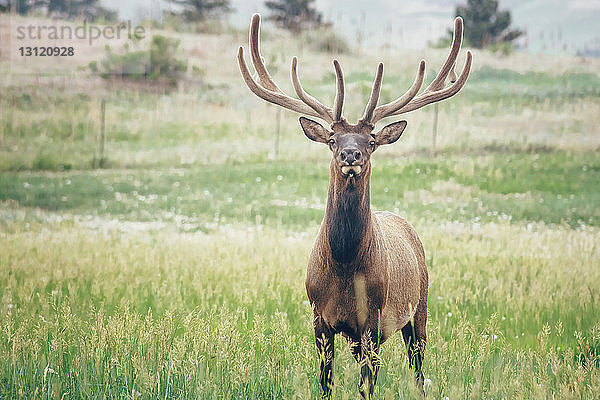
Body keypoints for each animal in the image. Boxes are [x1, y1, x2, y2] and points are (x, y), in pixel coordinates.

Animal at [237, 14, 472, 398]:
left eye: (372, 140)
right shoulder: (319, 317)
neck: (345, 268)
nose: (351, 155)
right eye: (333, 139)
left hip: (420, 306)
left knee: (418, 369)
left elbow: (367, 385)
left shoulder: (372, 318)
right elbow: (325, 382)